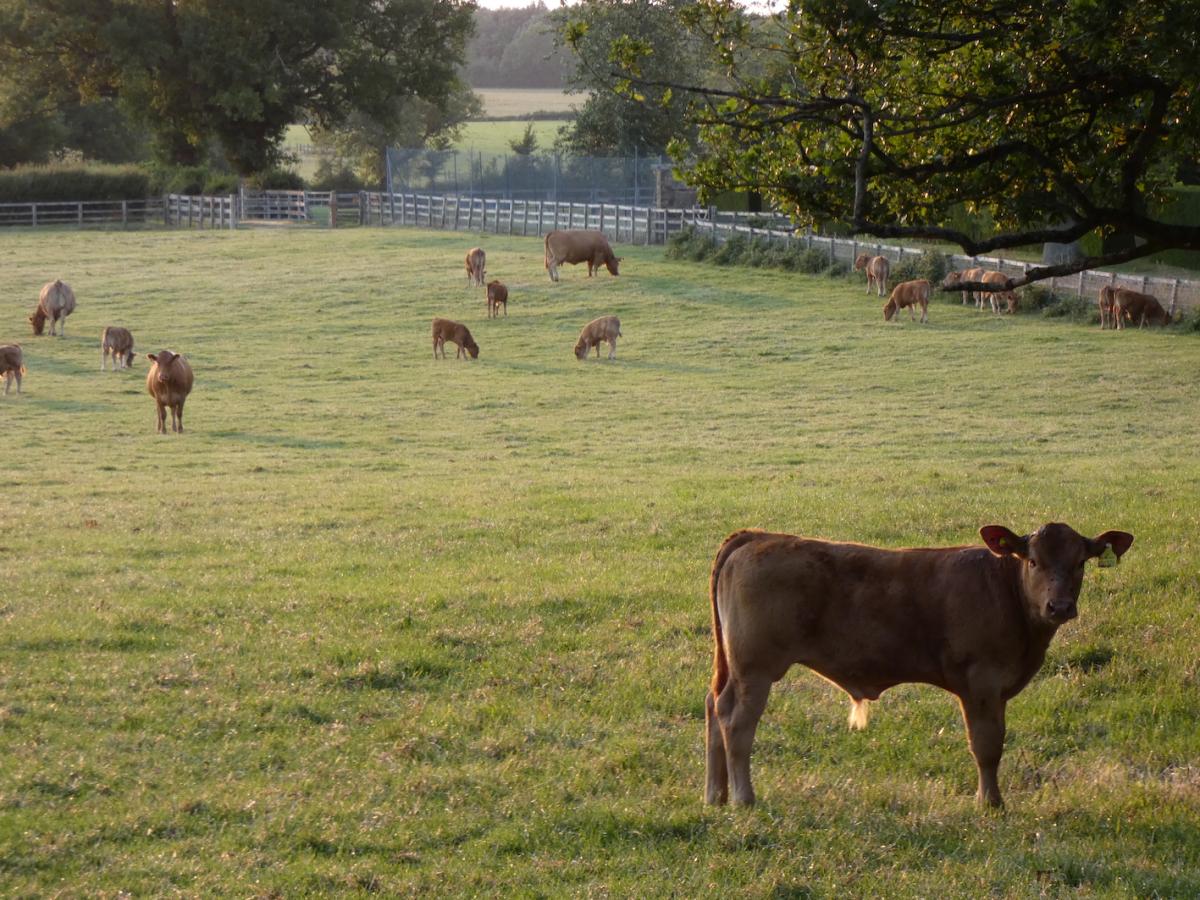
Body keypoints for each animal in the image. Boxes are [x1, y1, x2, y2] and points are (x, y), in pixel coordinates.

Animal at [700, 520, 1132, 811]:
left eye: (1080, 563)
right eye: (1033, 561)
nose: (1059, 606)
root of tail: (759, 536)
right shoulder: (981, 682)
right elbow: (987, 745)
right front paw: (991, 804)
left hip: (732, 668)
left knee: (714, 707)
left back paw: (716, 795)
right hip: (755, 669)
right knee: (737, 722)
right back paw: (743, 798)